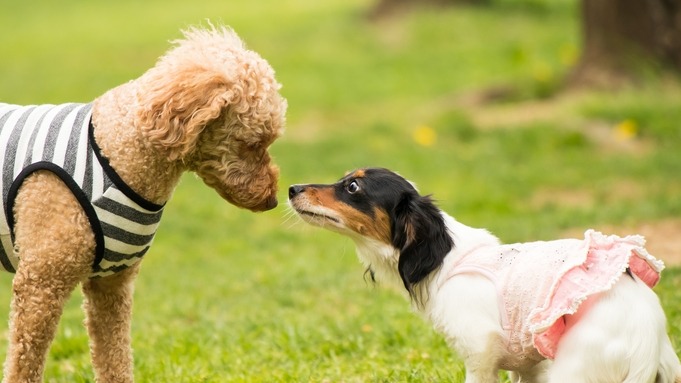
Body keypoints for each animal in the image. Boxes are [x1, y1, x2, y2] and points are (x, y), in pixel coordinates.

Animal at [288, 169, 680, 383]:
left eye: (352, 187)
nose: (292, 189)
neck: (444, 259)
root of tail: (647, 342)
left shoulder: (480, 352)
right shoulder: (530, 366)